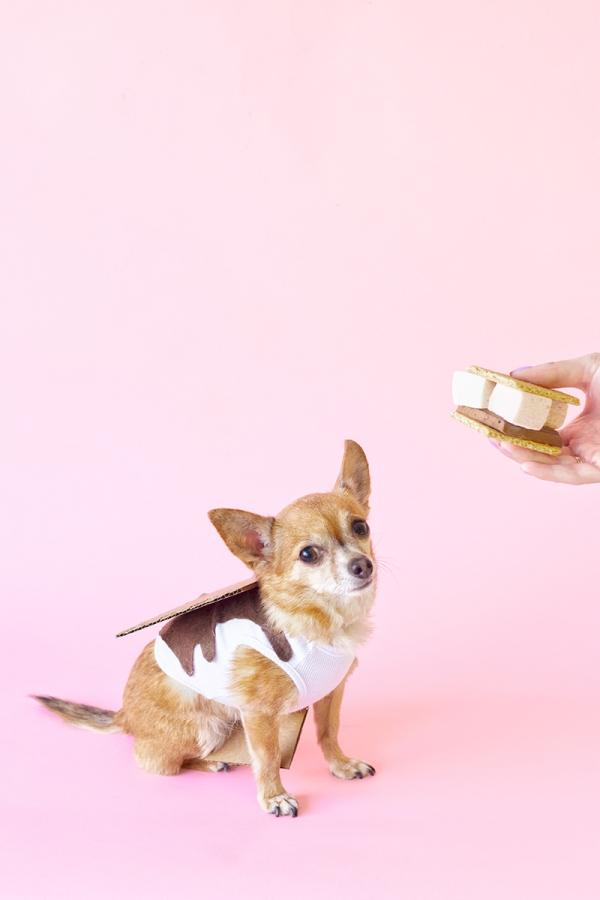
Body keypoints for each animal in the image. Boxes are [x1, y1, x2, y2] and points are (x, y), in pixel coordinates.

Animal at [35, 440, 378, 820]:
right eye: (308, 554)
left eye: (360, 527)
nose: (362, 565)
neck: (324, 620)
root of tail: (125, 716)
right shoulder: (257, 714)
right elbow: (268, 756)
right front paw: (274, 795)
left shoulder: (332, 694)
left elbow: (328, 732)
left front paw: (341, 764)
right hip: (205, 726)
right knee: (159, 761)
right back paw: (211, 763)